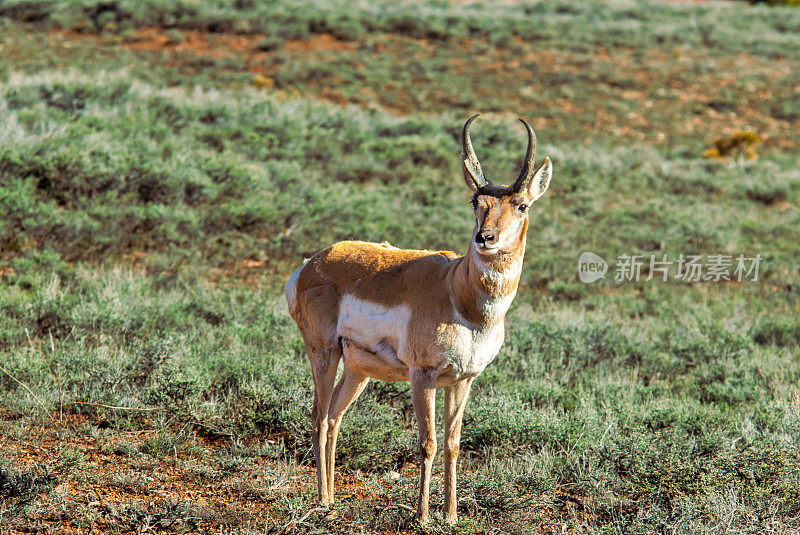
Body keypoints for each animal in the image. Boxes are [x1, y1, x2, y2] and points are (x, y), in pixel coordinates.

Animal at [284, 114, 552, 524]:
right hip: (324, 354)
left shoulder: (463, 379)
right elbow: (427, 442)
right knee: (317, 416)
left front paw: (452, 515)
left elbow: (453, 443)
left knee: (332, 418)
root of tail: (312, 263)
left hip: (358, 370)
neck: (458, 293)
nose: (485, 237)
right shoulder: (422, 376)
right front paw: (424, 517)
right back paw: (321, 501)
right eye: (476, 201)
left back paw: (330, 499)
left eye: (521, 205)